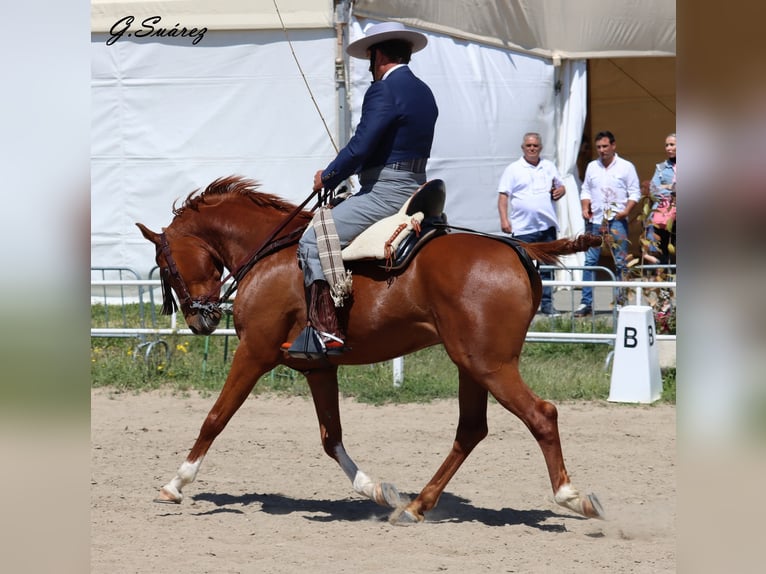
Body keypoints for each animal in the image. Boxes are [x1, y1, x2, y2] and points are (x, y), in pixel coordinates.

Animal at [136, 175, 605, 523]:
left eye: (165, 266)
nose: (200, 321)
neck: (270, 254)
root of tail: (519, 246)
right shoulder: (318, 368)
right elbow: (331, 437)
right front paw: (376, 490)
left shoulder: (254, 352)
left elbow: (215, 418)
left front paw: (175, 484)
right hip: (471, 365)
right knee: (471, 430)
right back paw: (416, 506)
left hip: (489, 364)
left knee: (541, 415)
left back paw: (571, 496)